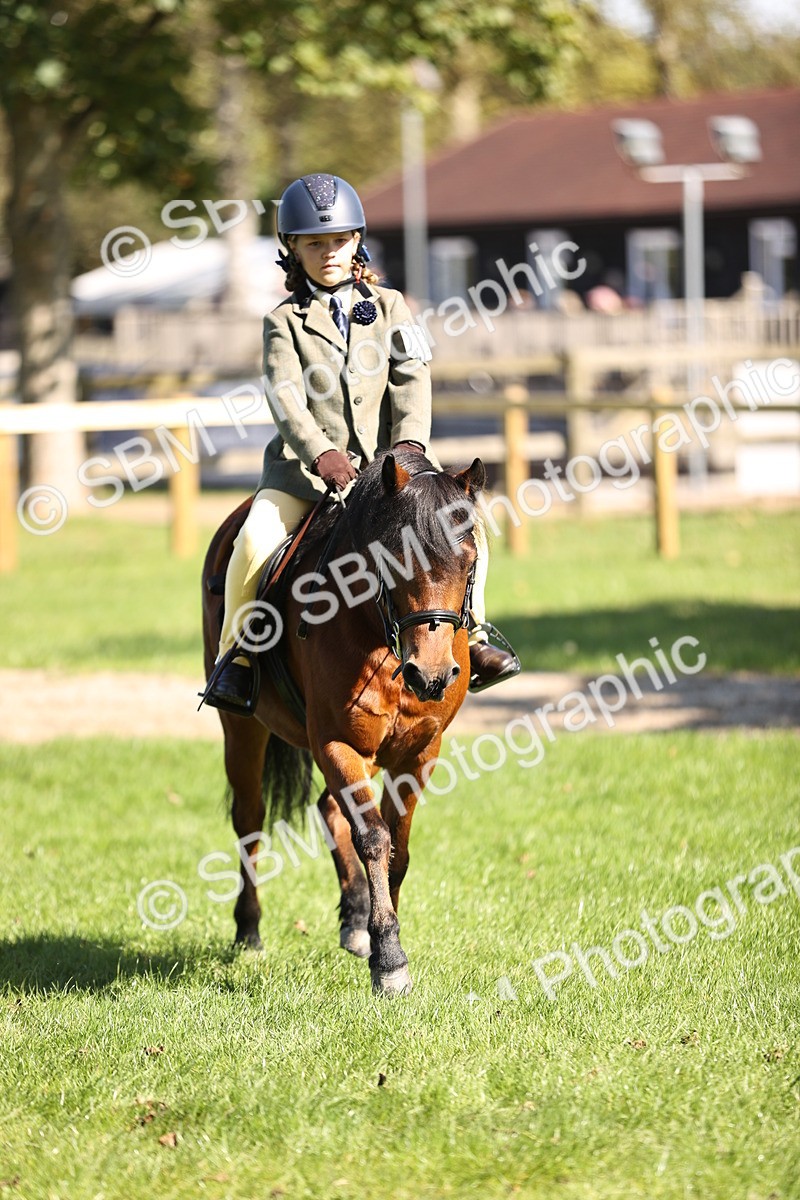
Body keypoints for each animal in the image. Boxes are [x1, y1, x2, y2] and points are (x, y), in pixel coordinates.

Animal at [201, 449, 486, 995]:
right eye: (396, 559)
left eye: (469, 562)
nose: (432, 676)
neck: (380, 632)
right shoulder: (335, 741)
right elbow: (374, 837)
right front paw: (390, 959)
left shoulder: (420, 749)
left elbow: (397, 845)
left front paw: (378, 935)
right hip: (244, 730)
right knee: (250, 820)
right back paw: (249, 931)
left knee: (330, 809)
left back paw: (354, 921)